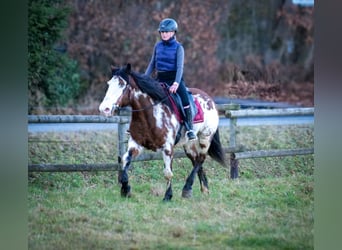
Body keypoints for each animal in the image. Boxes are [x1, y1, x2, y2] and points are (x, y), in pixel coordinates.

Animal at [99, 63, 226, 200]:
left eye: (122, 85)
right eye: (109, 84)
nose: (104, 109)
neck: (151, 114)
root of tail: (210, 99)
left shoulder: (167, 148)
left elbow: (168, 173)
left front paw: (168, 196)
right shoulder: (135, 144)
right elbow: (125, 160)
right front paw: (125, 188)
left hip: (205, 138)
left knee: (200, 159)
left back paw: (187, 188)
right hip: (188, 144)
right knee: (196, 160)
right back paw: (203, 189)